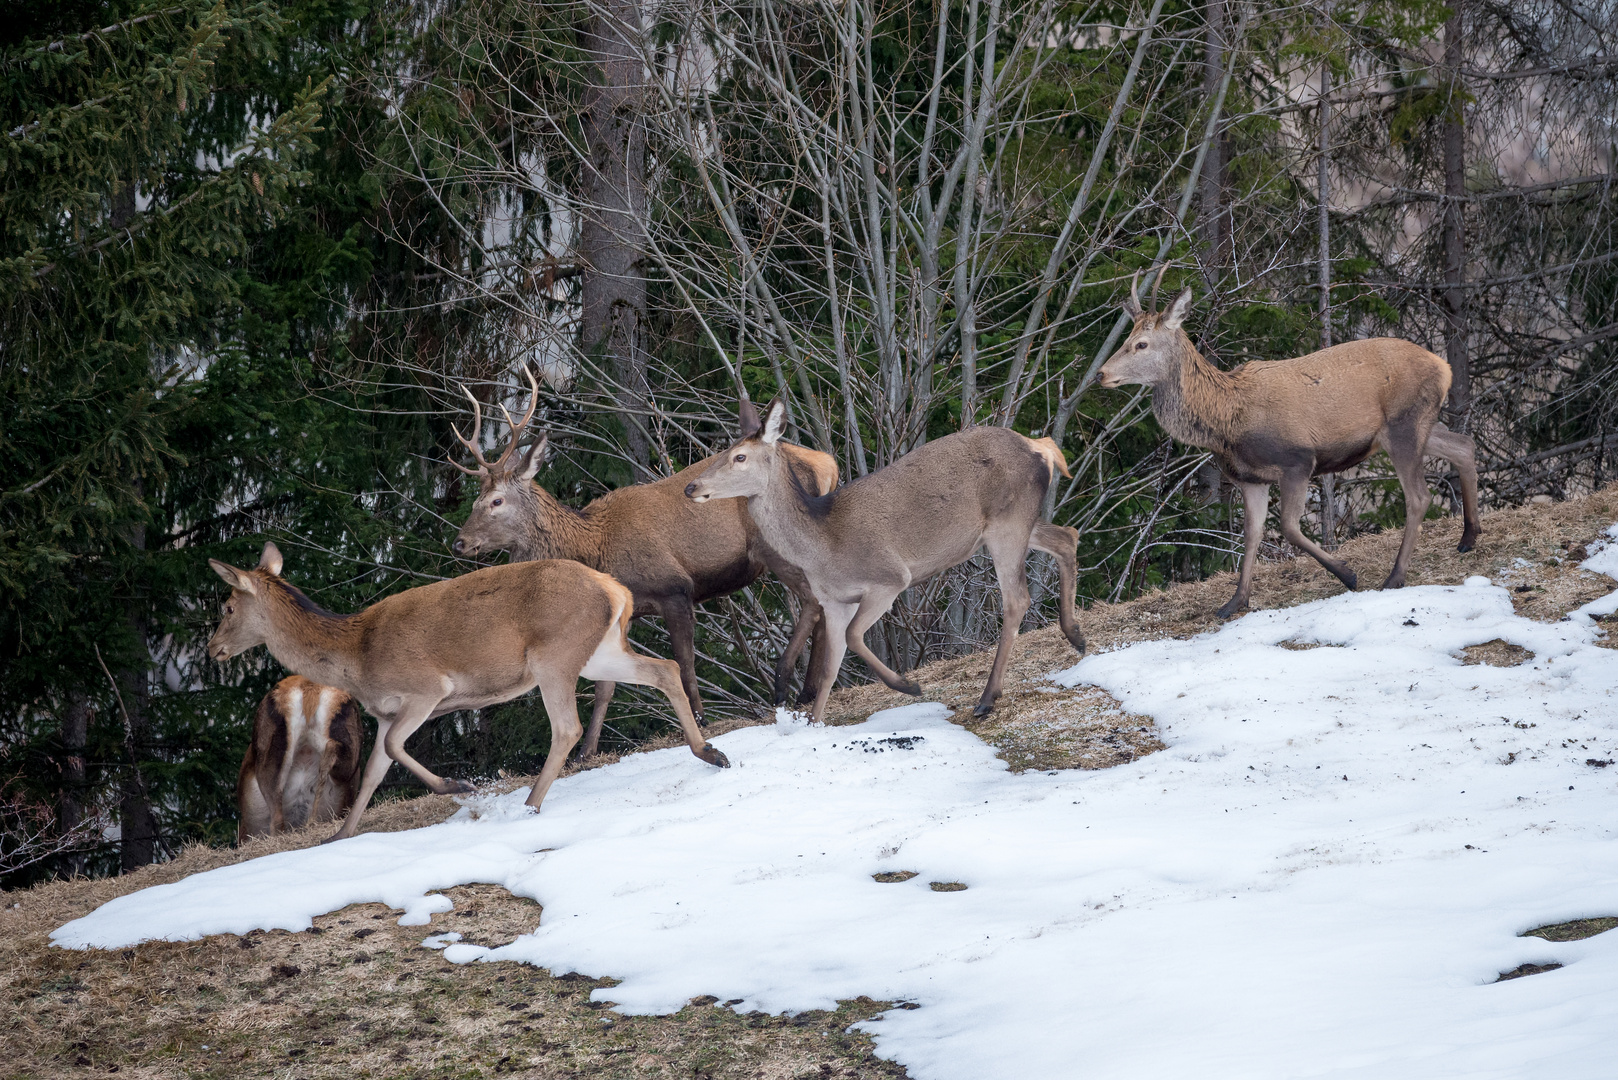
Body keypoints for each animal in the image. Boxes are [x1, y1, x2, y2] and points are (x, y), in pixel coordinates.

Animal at [453, 375, 841, 757]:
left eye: (496, 501)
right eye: (474, 501)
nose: (459, 542)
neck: (596, 547)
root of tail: (828, 463)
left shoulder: (675, 588)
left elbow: (684, 661)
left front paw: (699, 718)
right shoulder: (625, 613)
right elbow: (606, 686)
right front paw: (587, 751)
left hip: (776, 547)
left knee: (814, 600)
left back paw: (785, 684)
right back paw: (808, 689)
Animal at [682, 403, 1087, 725]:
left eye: (739, 457)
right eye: (723, 451)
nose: (691, 487)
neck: (821, 545)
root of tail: (1041, 446)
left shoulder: (889, 579)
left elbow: (852, 638)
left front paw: (908, 685)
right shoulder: (834, 601)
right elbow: (829, 666)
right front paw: (814, 724)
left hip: (1008, 522)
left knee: (1018, 598)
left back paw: (987, 699)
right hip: (1012, 524)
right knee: (1067, 536)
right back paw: (1076, 636)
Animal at [1100, 275, 1482, 621]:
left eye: (1141, 344)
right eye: (1127, 338)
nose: (1101, 374)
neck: (1226, 421)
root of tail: (1444, 366)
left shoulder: (1298, 460)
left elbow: (1288, 527)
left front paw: (1347, 574)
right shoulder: (1250, 478)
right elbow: (1252, 534)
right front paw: (1234, 603)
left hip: (1404, 425)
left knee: (1419, 496)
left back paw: (1395, 576)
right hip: (1413, 427)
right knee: (1464, 445)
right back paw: (1469, 536)